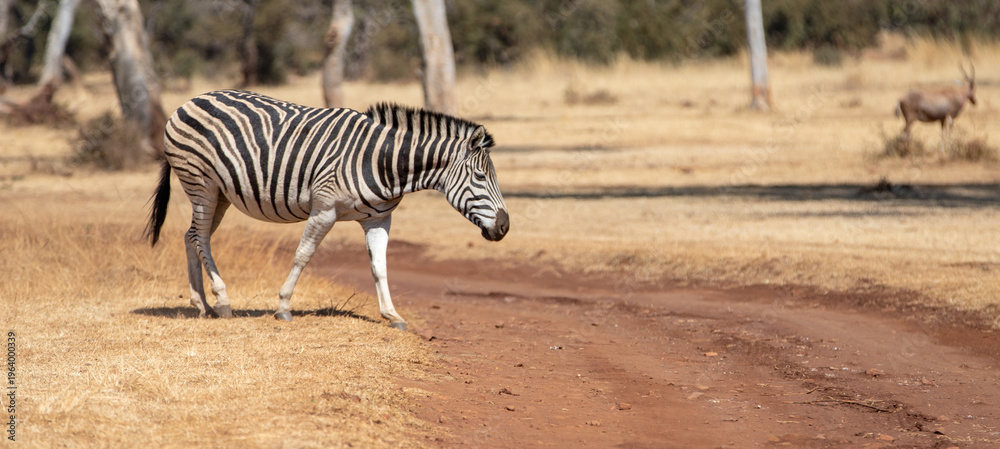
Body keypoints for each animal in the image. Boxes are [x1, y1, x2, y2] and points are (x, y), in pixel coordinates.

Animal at [145, 89, 509, 330]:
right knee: (200, 238)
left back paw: (201, 303)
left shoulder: (379, 218)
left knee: (192, 235)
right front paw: (284, 306)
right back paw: (221, 300)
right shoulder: (324, 209)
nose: (505, 227)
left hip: (219, 193)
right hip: (201, 183)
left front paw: (392, 315)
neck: (383, 161)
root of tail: (190, 101)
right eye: (480, 177)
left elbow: (380, 267)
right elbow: (303, 255)